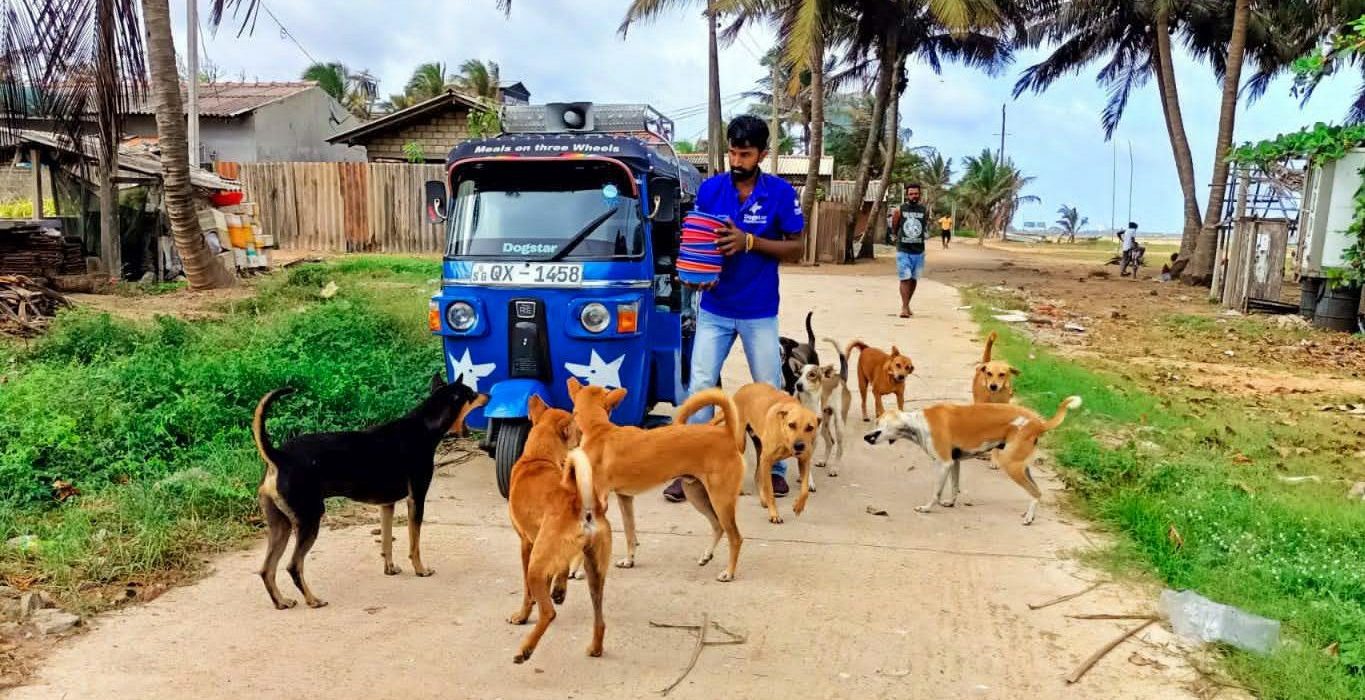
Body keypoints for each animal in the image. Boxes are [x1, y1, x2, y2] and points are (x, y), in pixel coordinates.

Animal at [253, 373, 483, 608]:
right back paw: (312, 600)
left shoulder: (387, 505)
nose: (489, 395)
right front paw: (421, 570)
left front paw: (390, 569)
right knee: (293, 566)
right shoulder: (416, 499)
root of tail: (279, 457)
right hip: (309, 521)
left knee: (267, 569)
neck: (424, 426)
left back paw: (281, 601)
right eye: (472, 394)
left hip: (281, 526)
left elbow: (387, 541)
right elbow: (414, 543)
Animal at [507, 395, 608, 663]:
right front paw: (559, 589)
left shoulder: (526, 544)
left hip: (536, 564)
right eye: (578, 429)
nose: (583, 435)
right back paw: (595, 647)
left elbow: (527, 593)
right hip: (595, 571)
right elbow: (561, 569)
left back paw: (526, 649)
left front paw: (522, 615)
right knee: (600, 620)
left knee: (548, 613)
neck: (537, 458)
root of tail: (581, 502)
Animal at [565, 379, 748, 581]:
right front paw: (629, 560)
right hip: (696, 494)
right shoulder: (625, 498)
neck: (598, 429)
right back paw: (707, 555)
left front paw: (575, 569)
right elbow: (630, 532)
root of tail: (727, 433)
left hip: (721, 499)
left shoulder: (596, 504)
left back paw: (728, 572)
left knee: (735, 537)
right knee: (718, 526)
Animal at [726, 382, 819, 523]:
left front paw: (798, 506)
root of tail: (744, 388)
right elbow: (770, 490)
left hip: (759, 450)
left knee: (757, 476)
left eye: (810, 427)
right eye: (792, 425)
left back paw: (763, 500)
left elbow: (804, 490)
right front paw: (774, 514)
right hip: (742, 442)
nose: (799, 446)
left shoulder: (804, 460)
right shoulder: (767, 460)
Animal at [868, 395, 1081, 521]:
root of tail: (1039, 423)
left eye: (878, 423)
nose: (865, 437)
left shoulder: (943, 463)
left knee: (1035, 492)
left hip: (1011, 465)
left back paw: (1028, 518)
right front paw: (950, 503)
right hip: (1022, 466)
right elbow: (954, 487)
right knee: (1037, 491)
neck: (918, 423)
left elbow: (936, 492)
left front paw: (927, 508)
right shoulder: (954, 463)